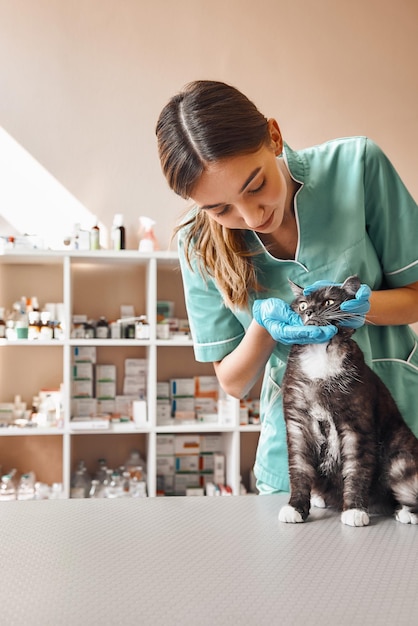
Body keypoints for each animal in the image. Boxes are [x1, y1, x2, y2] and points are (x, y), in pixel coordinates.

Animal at [280, 276, 418, 524]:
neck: (320, 355)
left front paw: (354, 509)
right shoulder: (298, 423)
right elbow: (299, 469)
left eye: (328, 301)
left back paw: (405, 512)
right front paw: (295, 507)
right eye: (303, 305)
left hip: (399, 451)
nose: (309, 311)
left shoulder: (356, 425)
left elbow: (356, 468)